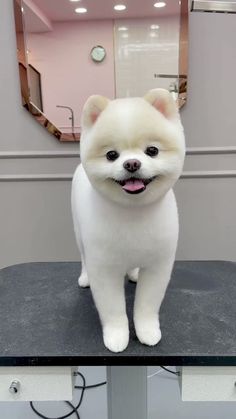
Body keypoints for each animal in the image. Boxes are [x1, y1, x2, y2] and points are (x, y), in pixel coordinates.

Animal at [71, 88, 185, 354]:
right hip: (79, 234)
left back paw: (133, 273)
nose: (132, 163)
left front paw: (147, 332)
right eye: (111, 155)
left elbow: (147, 305)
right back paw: (84, 278)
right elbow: (113, 310)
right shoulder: (104, 268)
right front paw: (116, 336)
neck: (133, 212)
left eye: (152, 151)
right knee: (82, 257)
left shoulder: (158, 265)